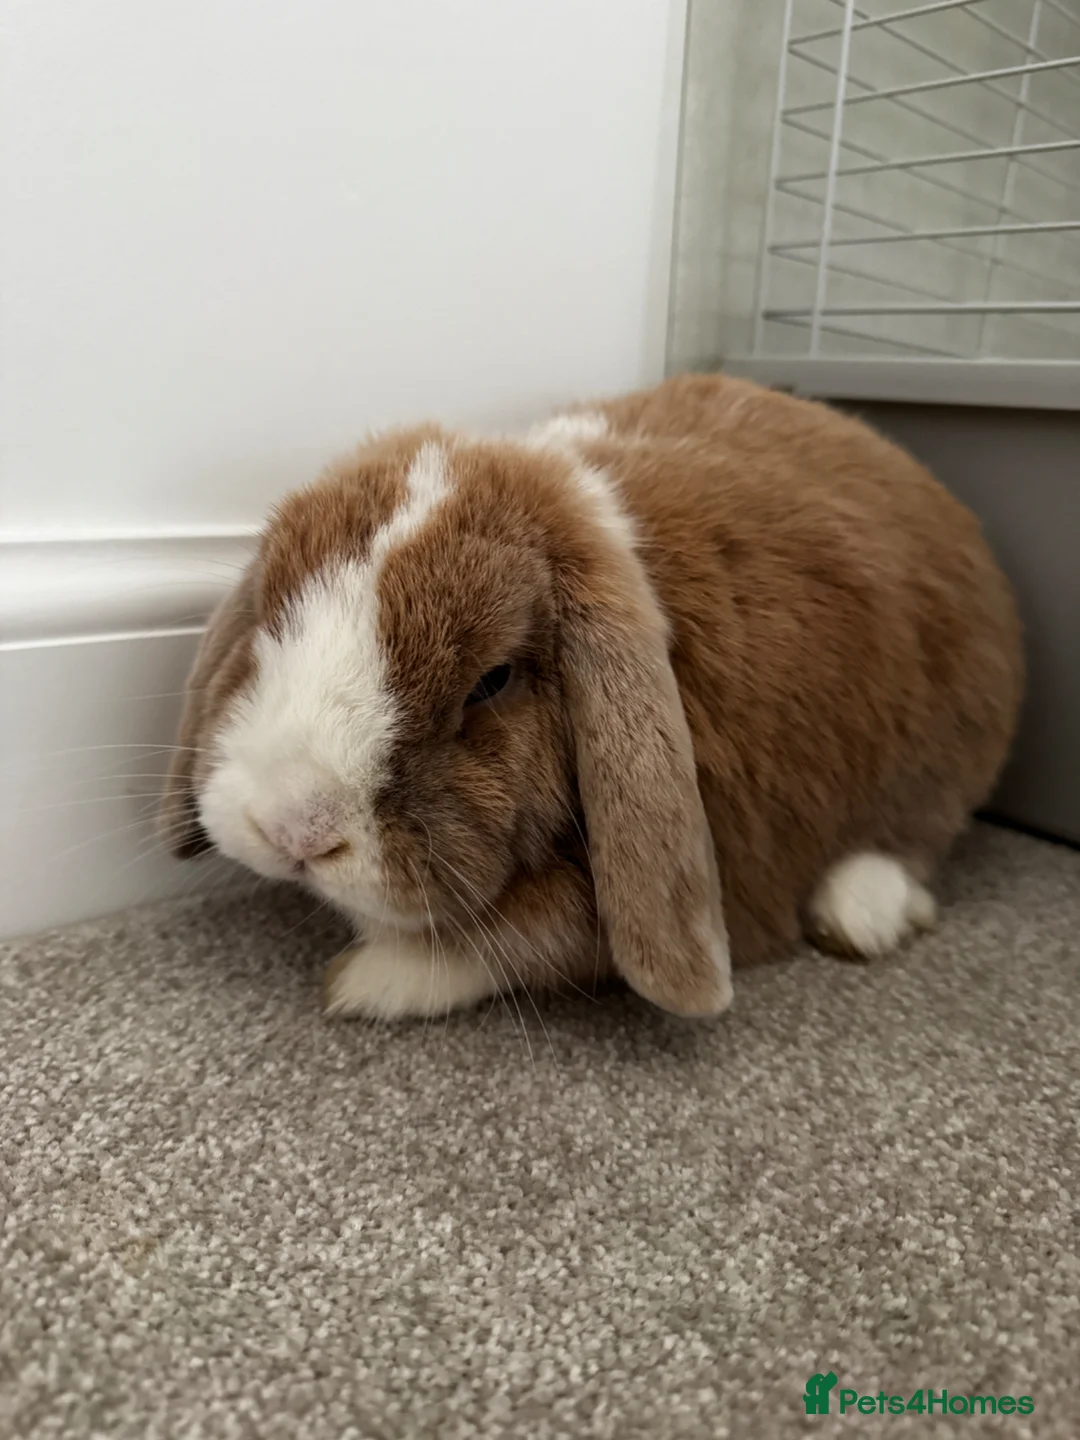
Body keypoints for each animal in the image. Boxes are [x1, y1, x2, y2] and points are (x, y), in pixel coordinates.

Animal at [162, 373, 1023, 1021]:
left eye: (493, 681)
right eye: (269, 622)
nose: (294, 831)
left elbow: (521, 942)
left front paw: (369, 982)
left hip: (948, 749)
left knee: (916, 839)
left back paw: (860, 914)